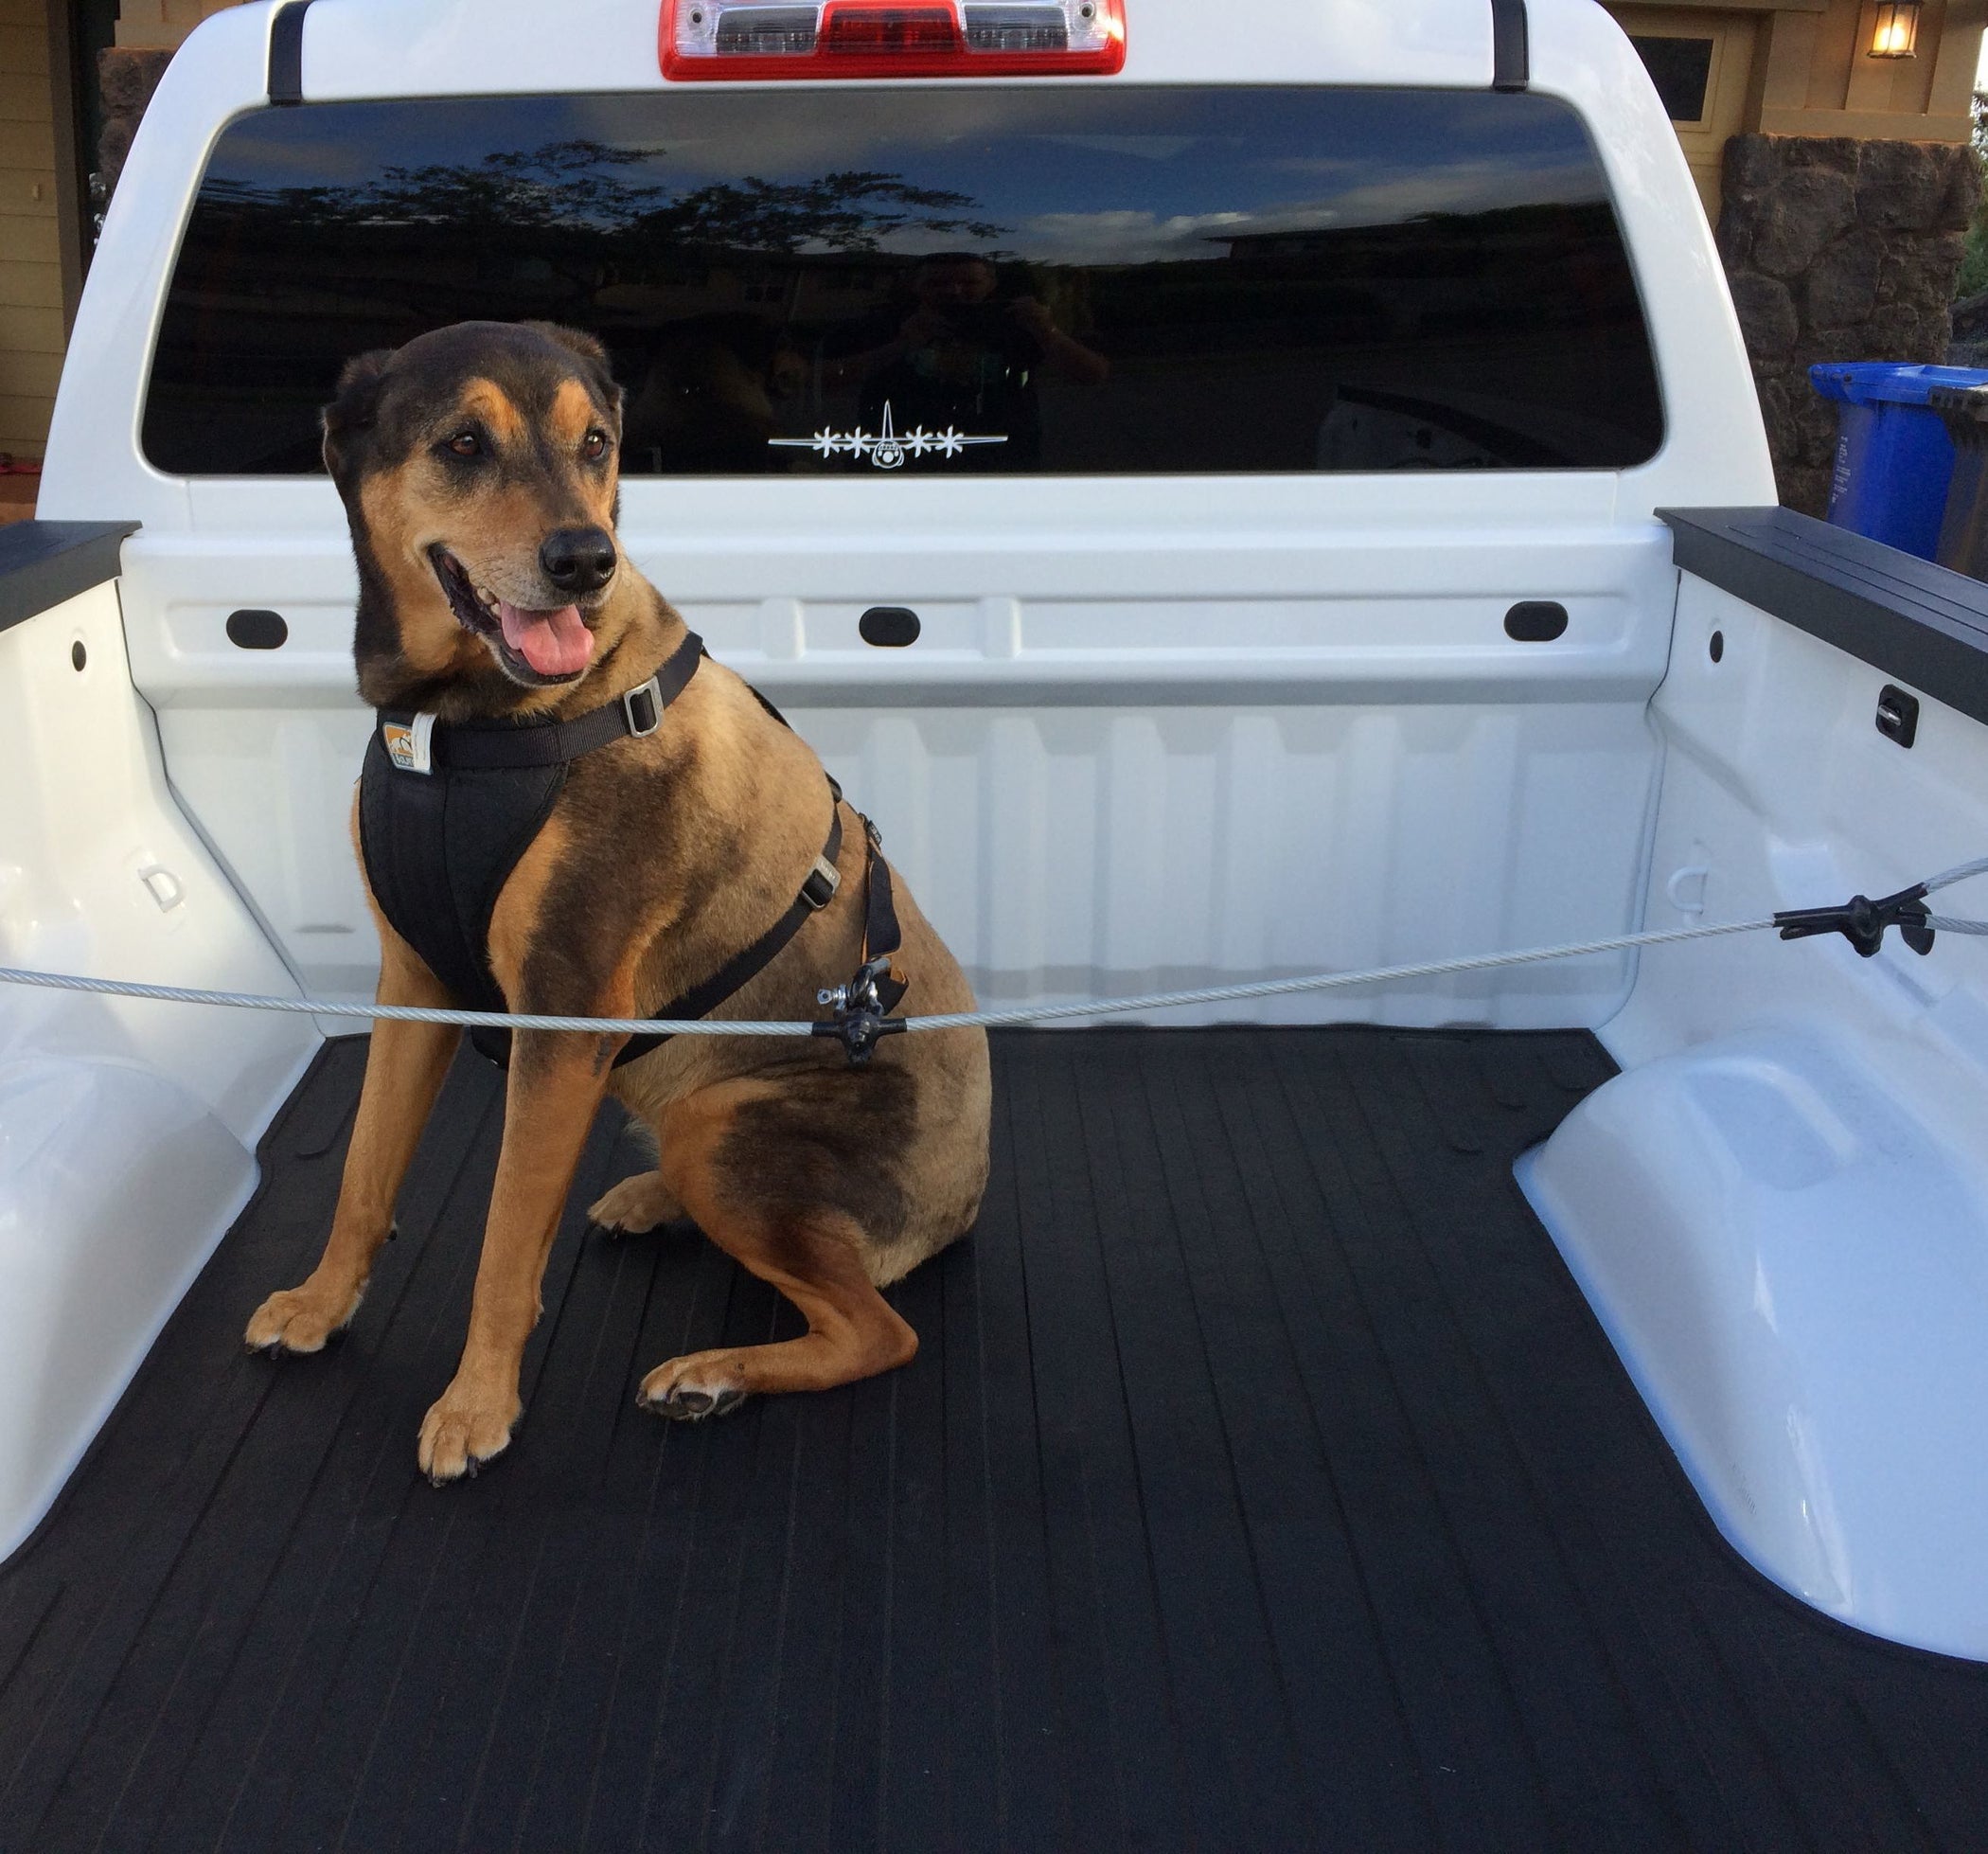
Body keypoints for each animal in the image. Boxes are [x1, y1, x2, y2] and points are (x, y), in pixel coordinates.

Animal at [244, 313, 989, 1480]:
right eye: (462, 443)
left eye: (597, 442)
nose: (585, 561)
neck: (461, 726)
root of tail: (963, 1204)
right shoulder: (412, 983)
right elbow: (363, 1172)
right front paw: (322, 1303)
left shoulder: (561, 1015)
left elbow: (505, 1239)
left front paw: (476, 1406)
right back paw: (650, 1202)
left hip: (730, 1126)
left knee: (878, 1330)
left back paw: (710, 1374)